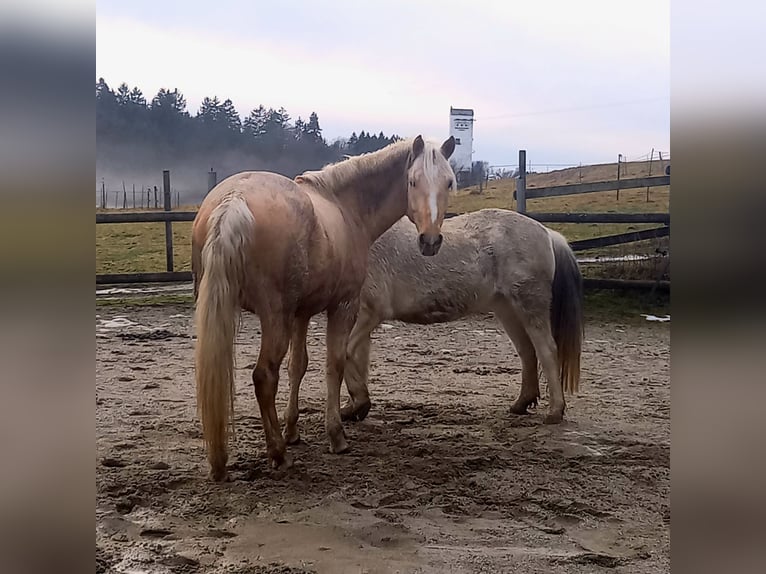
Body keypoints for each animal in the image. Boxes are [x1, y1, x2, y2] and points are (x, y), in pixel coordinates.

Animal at [191, 135, 457, 480]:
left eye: (449, 182)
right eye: (412, 181)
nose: (430, 241)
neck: (346, 206)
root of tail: (234, 200)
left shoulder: (301, 313)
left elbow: (298, 367)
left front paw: (293, 431)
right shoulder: (343, 307)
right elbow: (335, 364)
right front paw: (336, 435)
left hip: (218, 312)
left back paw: (221, 460)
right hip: (273, 318)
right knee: (264, 376)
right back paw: (278, 455)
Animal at [339, 208, 584, 425]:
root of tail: (547, 233)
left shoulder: (369, 314)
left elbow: (346, 354)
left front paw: (356, 405)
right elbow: (357, 358)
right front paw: (355, 407)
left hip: (530, 306)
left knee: (547, 351)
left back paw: (555, 411)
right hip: (507, 309)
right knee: (527, 351)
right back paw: (521, 403)